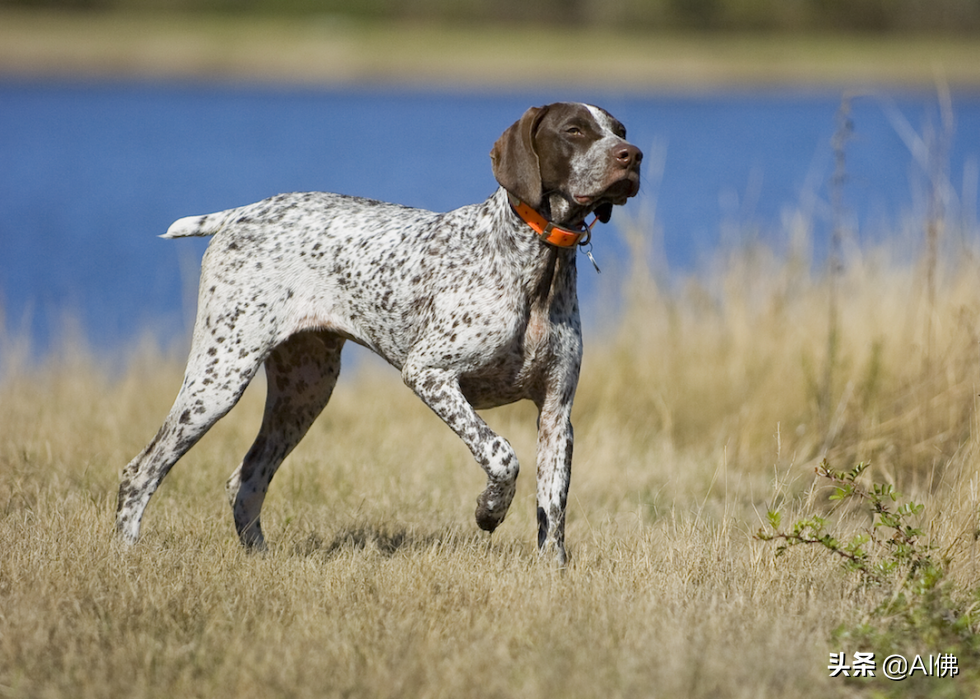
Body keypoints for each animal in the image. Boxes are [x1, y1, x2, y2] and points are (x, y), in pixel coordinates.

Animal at [117, 102, 644, 564]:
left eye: (619, 129)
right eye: (574, 130)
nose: (632, 155)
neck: (538, 263)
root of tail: (240, 213)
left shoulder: (556, 414)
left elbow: (552, 512)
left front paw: (551, 573)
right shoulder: (429, 373)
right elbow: (501, 455)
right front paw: (489, 511)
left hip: (303, 393)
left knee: (245, 481)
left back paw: (259, 560)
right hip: (219, 378)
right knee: (139, 471)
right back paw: (127, 555)